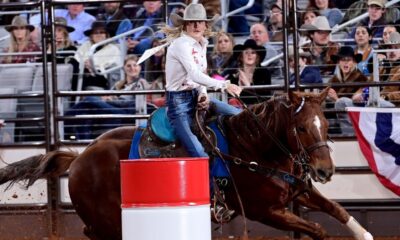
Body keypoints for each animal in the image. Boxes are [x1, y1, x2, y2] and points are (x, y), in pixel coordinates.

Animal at [0, 88, 372, 240]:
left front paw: (363, 234)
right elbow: (318, 228)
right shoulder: (265, 211)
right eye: (301, 128)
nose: (325, 170)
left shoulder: (297, 191)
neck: (256, 149)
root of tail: (78, 159)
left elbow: (338, 210)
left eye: (326, 123)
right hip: (106, 218)